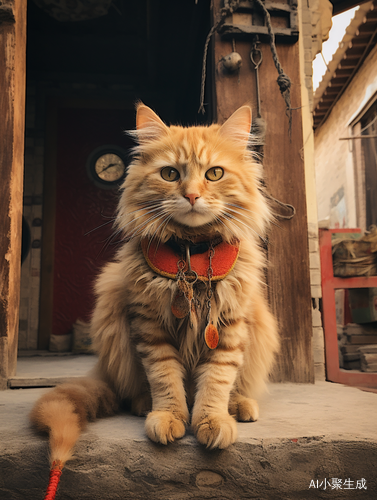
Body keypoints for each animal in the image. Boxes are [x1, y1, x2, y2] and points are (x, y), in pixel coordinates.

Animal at [30, 103, 278, 470]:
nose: (192, 195)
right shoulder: (150, 327)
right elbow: (165, 379)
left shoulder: (230, 325)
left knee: (236, 385)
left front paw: (212, 420)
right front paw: (170, 416)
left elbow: (217, 381)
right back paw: (143, 404)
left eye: (215, 174)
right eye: (170, 174)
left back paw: (239, 405)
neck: (191, 253)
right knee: (134, 389)